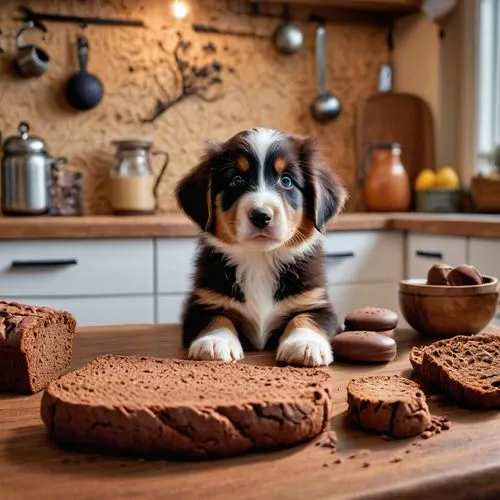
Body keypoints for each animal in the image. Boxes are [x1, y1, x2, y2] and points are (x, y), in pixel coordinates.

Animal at [176, 126, 348, 368]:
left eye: (286, 181)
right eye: (236, 180)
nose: (261, 216)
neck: (260, 259)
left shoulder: (317, 302)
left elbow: (306, 318)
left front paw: (305, 344)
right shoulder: (202, 304)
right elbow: (217, 318)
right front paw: (215, 341)